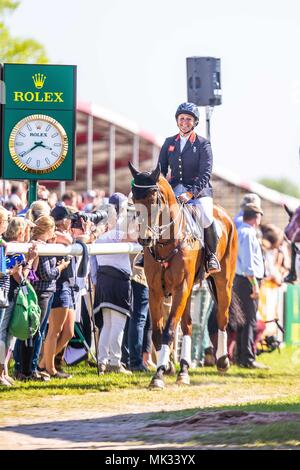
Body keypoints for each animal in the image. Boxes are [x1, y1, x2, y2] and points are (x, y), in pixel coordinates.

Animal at [129, 162, 239, 390]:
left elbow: (169, 330)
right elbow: (158, 331)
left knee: (221, 317)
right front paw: (167, 368)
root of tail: (225, 216)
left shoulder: (181, 287)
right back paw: (184, 370)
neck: (166, 242)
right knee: (188, 326)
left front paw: (158, 375)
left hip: (223, 282)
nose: (145, 239)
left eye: (154, 198)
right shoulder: (155, 290)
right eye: (134, 198)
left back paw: (222, 361)